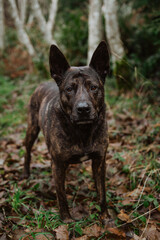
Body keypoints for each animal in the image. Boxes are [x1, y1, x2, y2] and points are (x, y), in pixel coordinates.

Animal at [22, 40, 110, 221]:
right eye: (69, 89)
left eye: (93, 87)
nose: (83, 109)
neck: (83, 130)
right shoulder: (58, 165)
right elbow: (61, 195)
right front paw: (67, 220)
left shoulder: (99, 160)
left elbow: (103, 193)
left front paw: (105, 217)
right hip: (32, 128)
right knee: (27, 149)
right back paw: (26, 173)